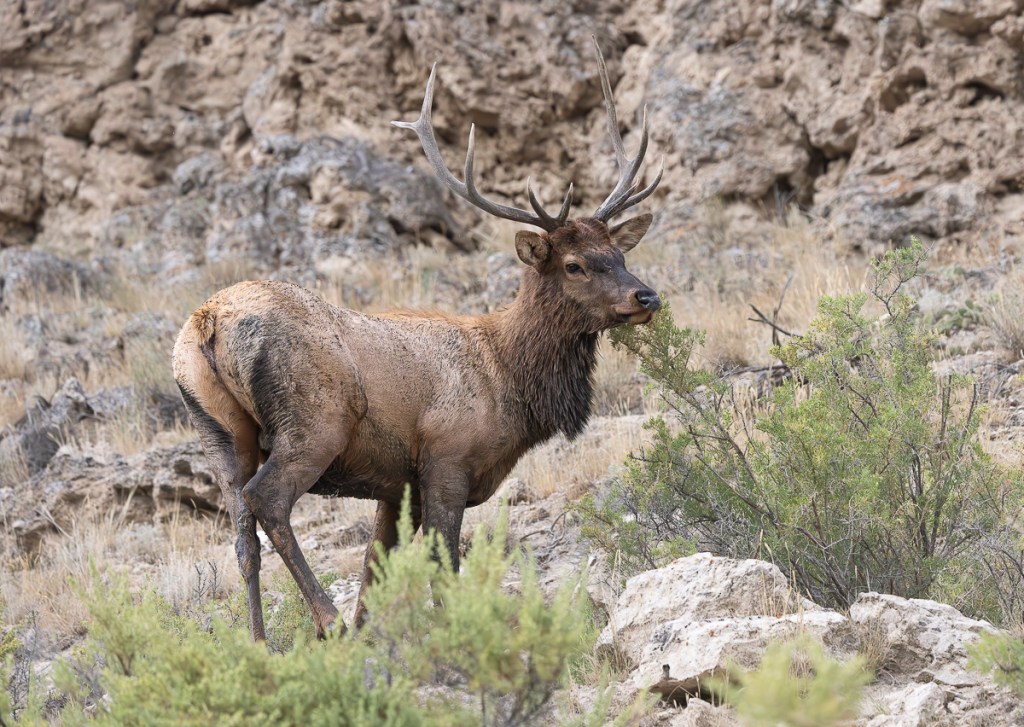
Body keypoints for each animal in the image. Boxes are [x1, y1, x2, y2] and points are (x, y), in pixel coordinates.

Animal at [172, 40, 663, 641]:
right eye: (574, 264)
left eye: (618, 254)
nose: (646, 297)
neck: (510, 383)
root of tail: (206, 322)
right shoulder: (445, 459)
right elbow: (443, 566)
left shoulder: (396, 485)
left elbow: (373, 571)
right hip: (312, 422)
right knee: (267, 502)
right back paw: (325, 620)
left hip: (219, 433)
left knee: (242, 538)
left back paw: (260, 644)